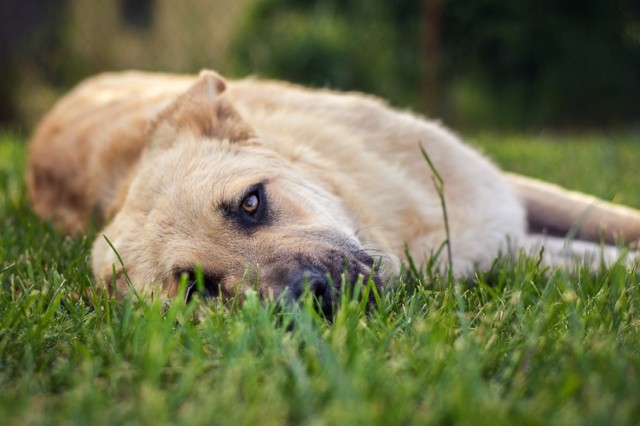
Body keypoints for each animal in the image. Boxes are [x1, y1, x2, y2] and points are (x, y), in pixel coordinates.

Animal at [26, 70, 640, 304]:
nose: (311, 296)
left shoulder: (503, 197)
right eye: (200, 287)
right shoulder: (494, 250)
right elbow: (593, 259)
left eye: (251, 202)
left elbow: (609, 222)